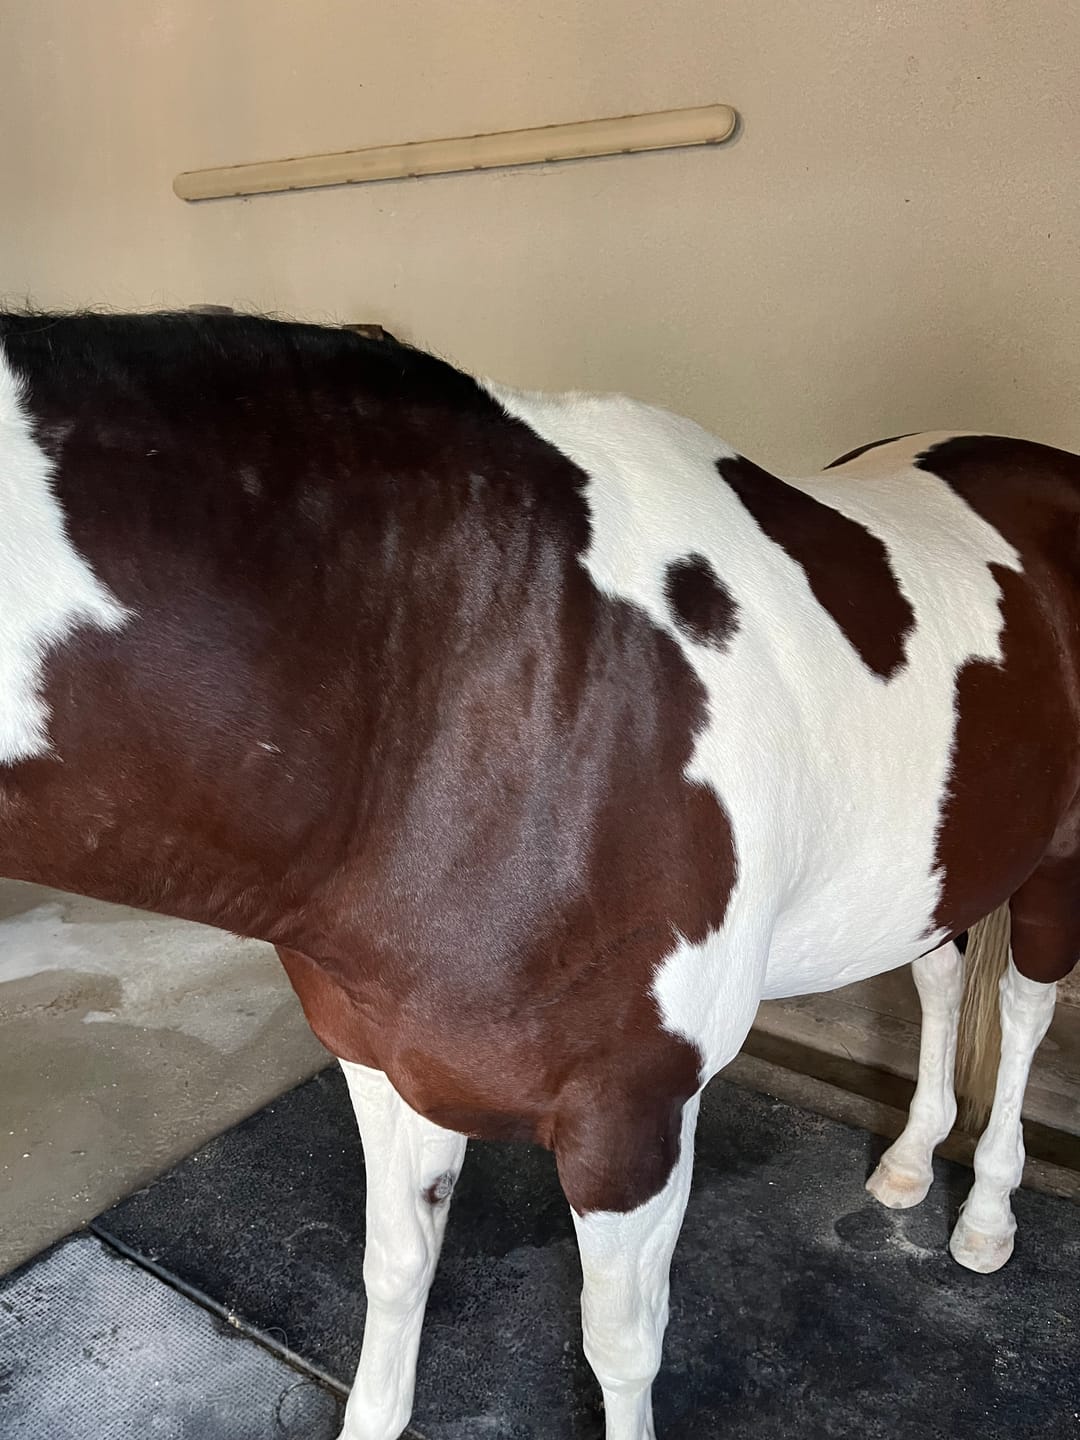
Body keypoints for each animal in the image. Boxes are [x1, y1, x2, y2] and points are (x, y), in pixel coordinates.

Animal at [0, 308, 1074, 1440]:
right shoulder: (387, 1068)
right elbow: (395, 1272)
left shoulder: (630, 1121)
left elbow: (621, 1347)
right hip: (940, 863)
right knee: (939, 974)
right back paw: (909, 1161)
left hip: (1055, 868)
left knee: (1024, 1006)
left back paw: (986, 1214)